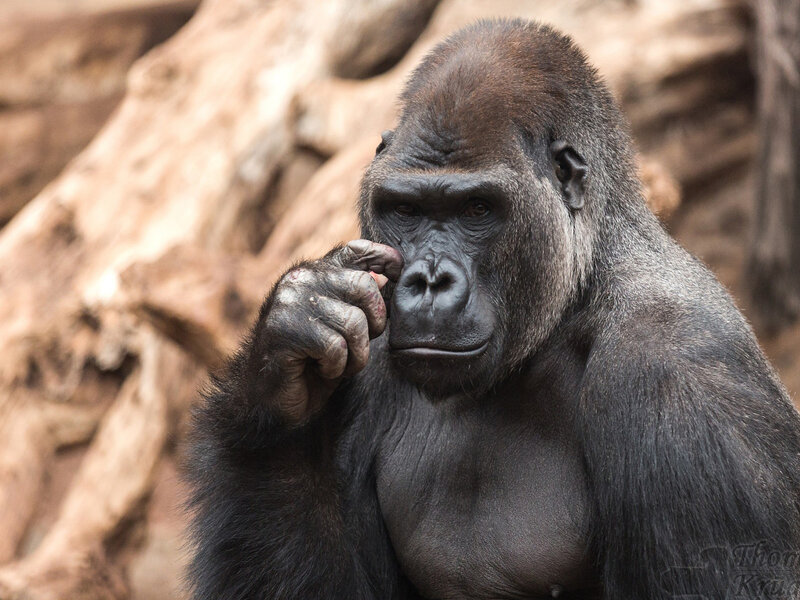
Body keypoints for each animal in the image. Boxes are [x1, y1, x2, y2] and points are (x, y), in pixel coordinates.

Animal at [186, 19, 800, 599]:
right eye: (405, 209)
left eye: (477, 209)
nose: (428, 281)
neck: (574, 296)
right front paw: (286, 361)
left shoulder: (680, 382)